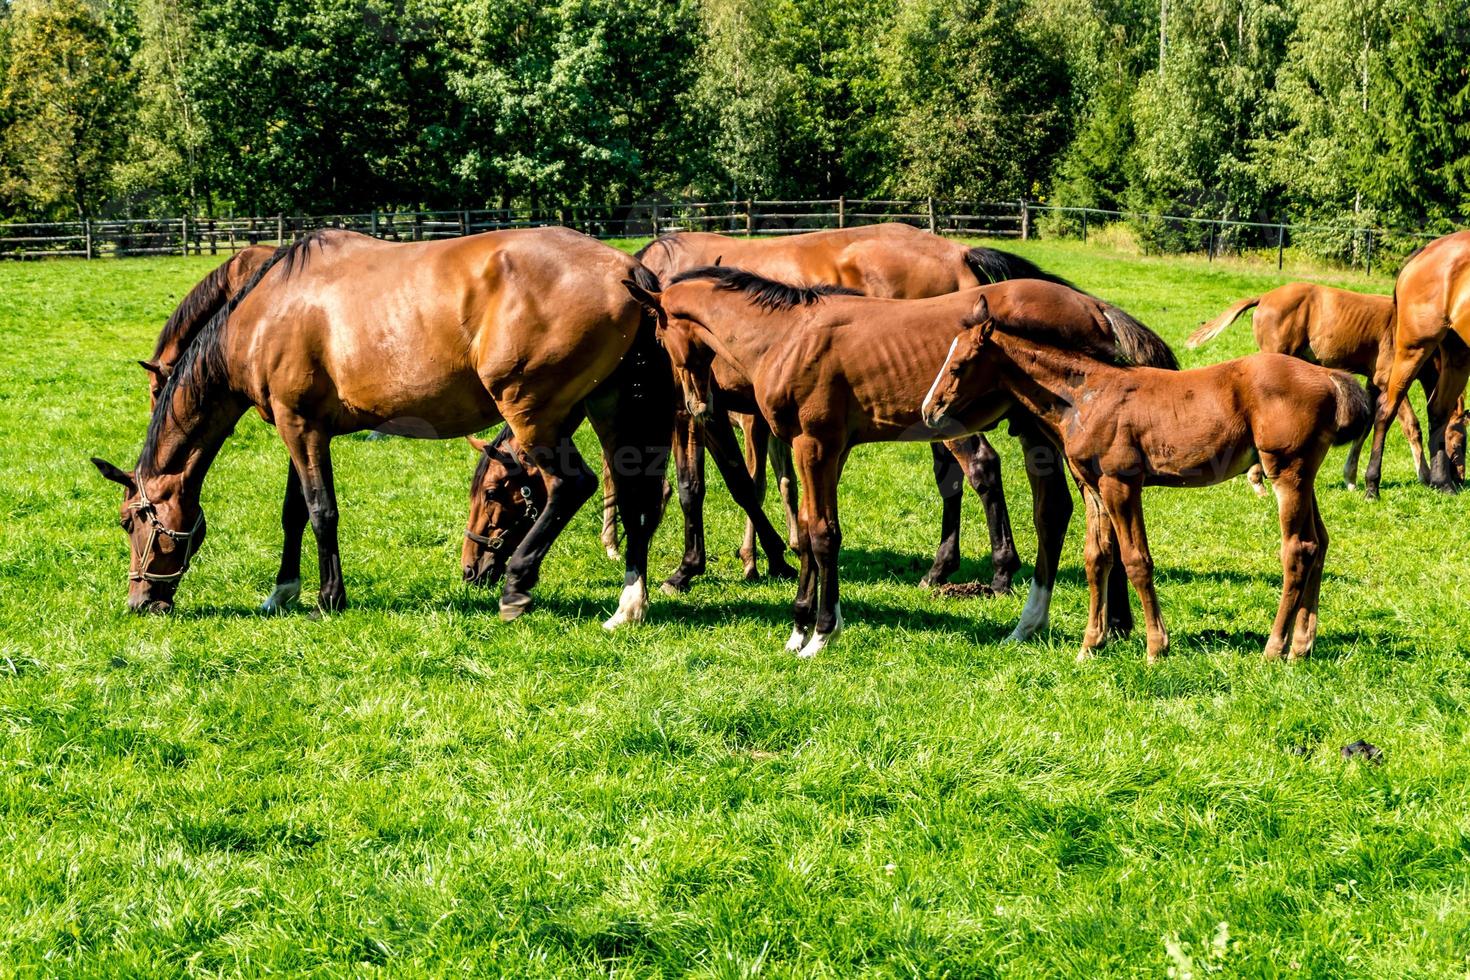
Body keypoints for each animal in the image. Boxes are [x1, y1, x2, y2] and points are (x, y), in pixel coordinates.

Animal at [88, 230, 670, 628]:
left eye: (129, 521)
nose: (141, 601)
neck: (259, 316)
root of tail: (628, 270)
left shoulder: (301, 429)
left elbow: (321, 511)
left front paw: (328, 598)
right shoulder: (300, 428)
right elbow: (294, 512)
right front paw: (282, 591)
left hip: (532, 414)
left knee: (573, 486)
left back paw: (517, 585)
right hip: (610, 410)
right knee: (635, 496)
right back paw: (629, 603)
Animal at [626, 265, 1176, 658]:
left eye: (658, 337)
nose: (697, 404)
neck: (787, 337)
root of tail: (1094, 305)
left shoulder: (813, 444)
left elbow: (822, 534)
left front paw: (820, 634)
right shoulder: (826, 451)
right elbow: (808, 531)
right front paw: (801, 625)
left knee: (1076, 513)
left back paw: (1098, 624)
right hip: (1038, 431)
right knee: (1060, 511)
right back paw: (1065, 624)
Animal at [923, 299, 1370, 667]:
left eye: (959, 366)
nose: (930, 409)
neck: (1086, 397)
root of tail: (1331, 378)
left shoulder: (1121, 483)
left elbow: (1136, 560)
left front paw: (1156, 648)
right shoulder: (1093, 488)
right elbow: (1098, 557)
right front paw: (1091, 644)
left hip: (1287, 473)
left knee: (1298, 549)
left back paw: (1275, 648)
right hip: (1303, 477)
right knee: (1320, 543)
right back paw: (1301, 646)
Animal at [1187, 279, 1464, 493]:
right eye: (1461, 442)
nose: (1459, 478)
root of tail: (1264, 297)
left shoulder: (1372, 382)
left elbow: (1365, 426)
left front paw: (1351, 478)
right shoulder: (1389, 379)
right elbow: (1411, 426)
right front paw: (1424, 475)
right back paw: (1257, 478)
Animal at [1358, 232, 1470, 499]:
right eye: (1460, 443)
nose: (1461, 478)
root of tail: (1429, 248)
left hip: (1458, 355)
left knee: (1438, 411)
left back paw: (1442, 483)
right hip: (1413, 349)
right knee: (1386, 411)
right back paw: (1372, 485)